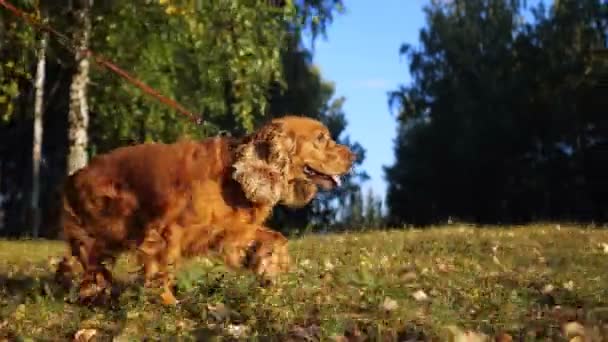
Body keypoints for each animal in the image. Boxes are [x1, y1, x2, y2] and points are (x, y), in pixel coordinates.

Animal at [55, 116, 356, 304]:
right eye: (320, 139)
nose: (353, 156)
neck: (233, 176)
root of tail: (74, 176)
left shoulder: (232, 231)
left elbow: (274, 239)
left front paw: (270, 266)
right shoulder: (166, 233)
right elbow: (162, 268)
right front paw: (168, 303)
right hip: (108, 229)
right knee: (88, 263)